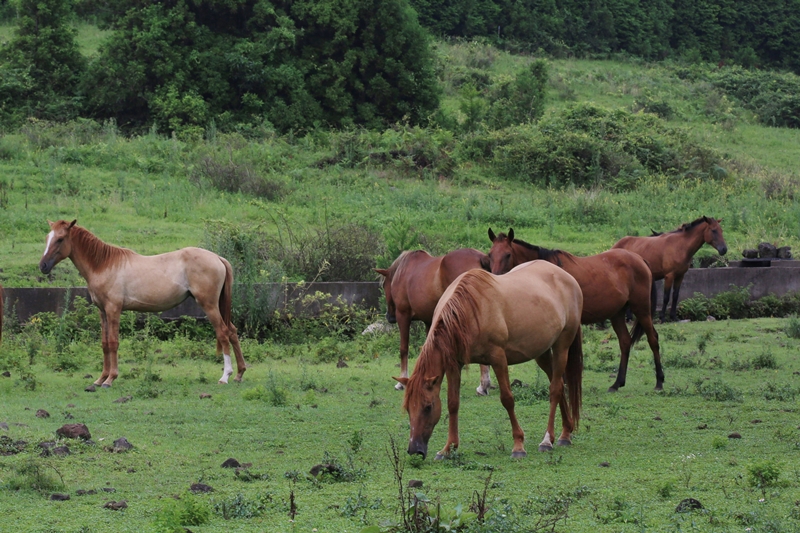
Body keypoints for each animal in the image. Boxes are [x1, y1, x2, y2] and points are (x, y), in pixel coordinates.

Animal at [39, 219, 245, 386]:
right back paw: (239, 374)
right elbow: (104, 343)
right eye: (47, 237)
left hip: (209, 305)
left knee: (223, 332)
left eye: (60, 239)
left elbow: (113, 342)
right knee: (232, 331)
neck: (104, 265)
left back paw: (225, 376)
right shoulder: (103, 312)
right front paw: (100, 379)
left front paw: (110, 379)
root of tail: (217, 258)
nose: (43, 266)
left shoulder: (113, 310)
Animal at [376, 247, 494, 392]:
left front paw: (402, 382)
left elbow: (404, 349)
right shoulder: (428, 320)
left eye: (384, 285)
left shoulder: (403, 316)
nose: (390, 317)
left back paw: (483, 385)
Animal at [398, 260, 580, 460]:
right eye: (408, 408)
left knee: (555, 389)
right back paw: (565, 433)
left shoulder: (498, 359)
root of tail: (567, 277)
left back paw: (548, 440)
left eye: (428, 407)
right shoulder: (454, 364)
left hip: (562, 347)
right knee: (559, 385)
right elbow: (453, 403)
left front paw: (518, 445)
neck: (469, 312)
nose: (414, 449)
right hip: (542, 353)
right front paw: (448, 448)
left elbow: (507, 399)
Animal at [488, 225, 664, 390]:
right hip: (617, 314)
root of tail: (640, 259)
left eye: (508, 254)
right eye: (490, 255)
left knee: (653, 338)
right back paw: (617, 383)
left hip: (641, 309)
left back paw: (659, 381)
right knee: (625, 342)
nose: (495, 278)